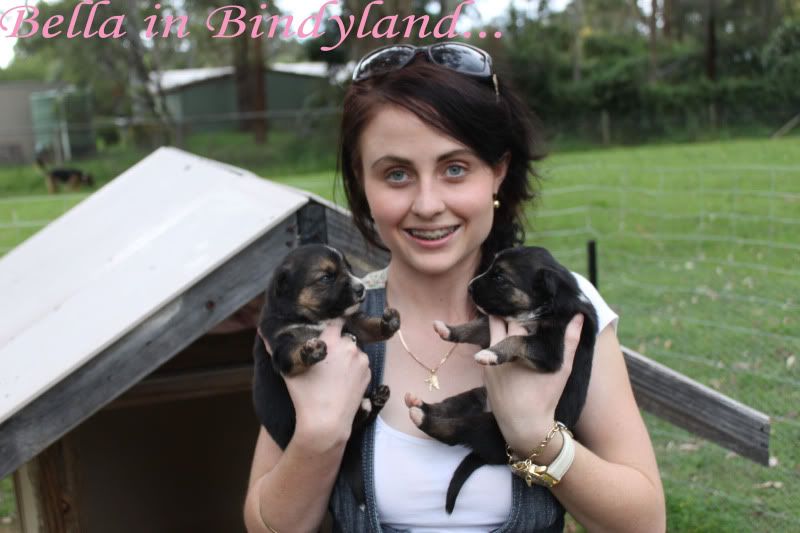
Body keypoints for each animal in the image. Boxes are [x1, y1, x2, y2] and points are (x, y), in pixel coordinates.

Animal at [252, 244, 401, 503]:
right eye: (326, 277)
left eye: (349, 268)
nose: (361, 288)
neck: (318, 319)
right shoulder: (282, 344)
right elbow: (293, 352)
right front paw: (310, 350)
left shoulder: (353, 322)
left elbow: (370, 326)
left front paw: (388, 322)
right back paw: (367, 405)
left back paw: (377, 398)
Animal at [405, 246, 598, 513]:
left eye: (499, 277)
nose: (469, 287)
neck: (545, 305)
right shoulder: (497, 328)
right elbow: (477, 326)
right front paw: (448, 330)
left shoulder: (551, 351)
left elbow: (517, 340)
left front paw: (490, 354)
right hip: (477, 396)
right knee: (449, 407)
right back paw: (419, 405)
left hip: (490, 427)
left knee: (454, 432)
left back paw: (422, 417)